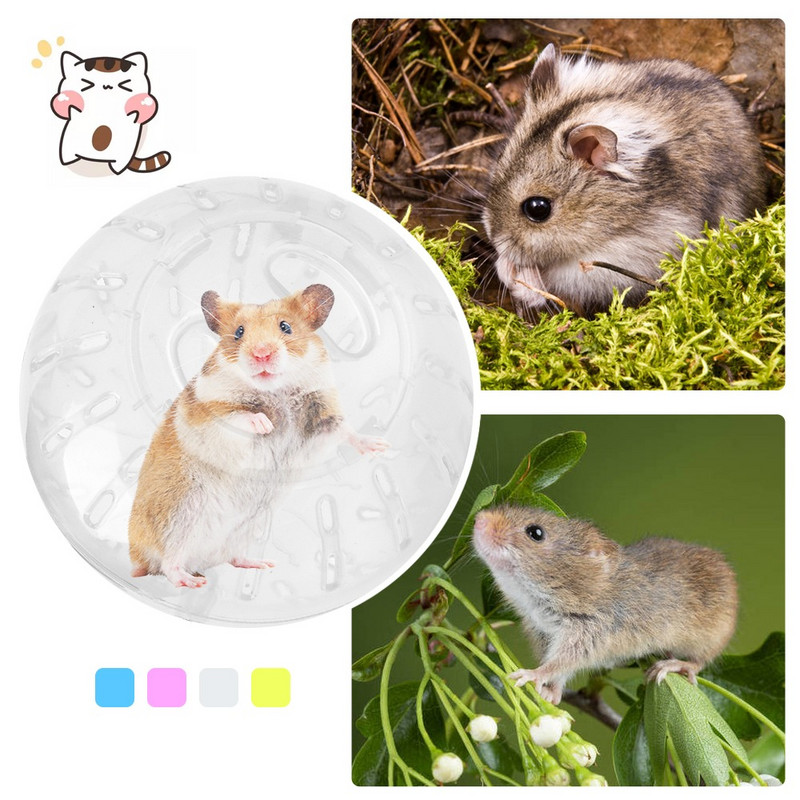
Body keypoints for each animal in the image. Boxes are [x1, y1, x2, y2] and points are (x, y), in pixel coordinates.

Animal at [128, 284, 388, 588]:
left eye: (286, 327)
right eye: (239, 332)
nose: (261, 354)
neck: (276, 390)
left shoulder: (322, 416)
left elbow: (345, 430)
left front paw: (380, 446)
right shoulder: (208, 413)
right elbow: (239, 416)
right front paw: (265, 424)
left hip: (249, 525)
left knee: (230, 557)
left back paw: (260, 564)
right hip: (179, 514)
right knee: (168, 562)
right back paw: (191, 581)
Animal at [473, 505, 737, 704]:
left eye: (535, 532)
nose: (478, 519)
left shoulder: (589, 634)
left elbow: (557, 664)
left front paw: (531, 675)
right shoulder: (543, 631)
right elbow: (561, 670)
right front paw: (552, 695)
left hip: (710, 636)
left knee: (699, 662)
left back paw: (671, 665)